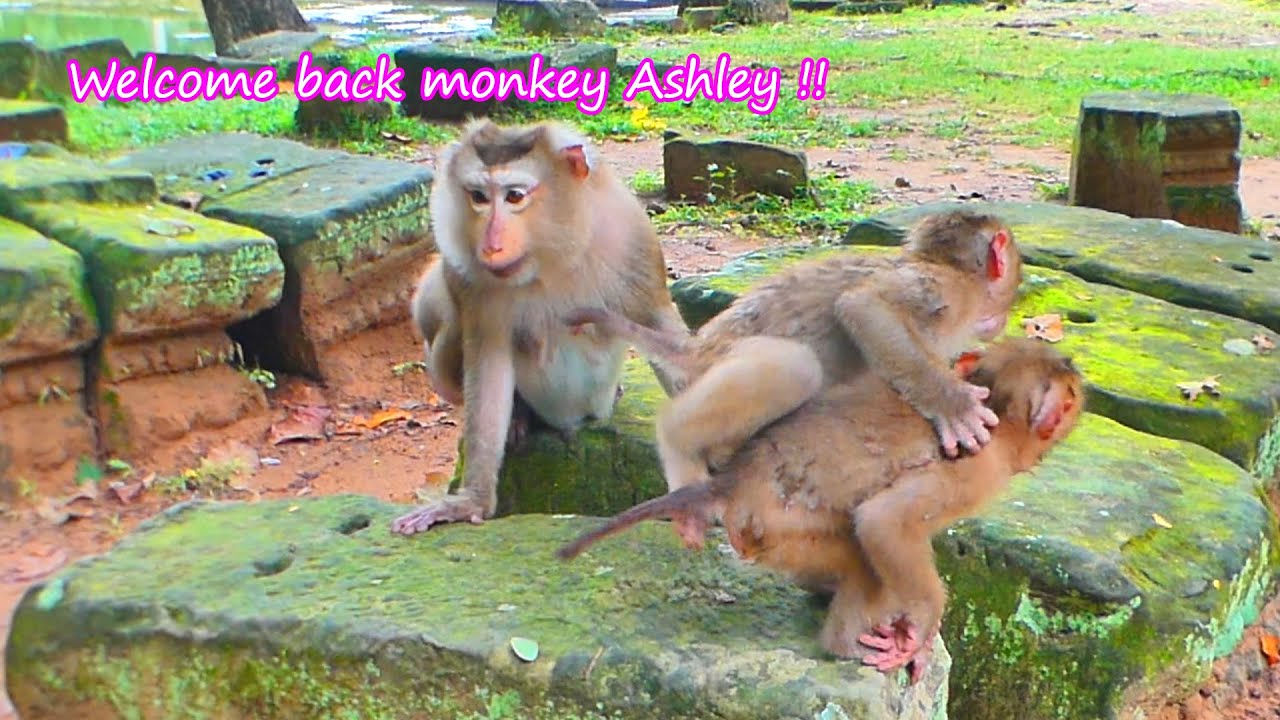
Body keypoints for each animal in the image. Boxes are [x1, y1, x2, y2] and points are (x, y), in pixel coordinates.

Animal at [391, 119, 690, 536]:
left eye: (515, 196)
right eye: (479, 197)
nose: (491, 246)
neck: (550, 259)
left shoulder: (633, 241)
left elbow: (662, 332)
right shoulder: (466, 272)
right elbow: (488, 358)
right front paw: (470, 501)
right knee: (443, 312)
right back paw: (519, 415)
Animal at [556, 337, 1084, 683]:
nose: (1075, 369)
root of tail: (733, 480)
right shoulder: (977, 469)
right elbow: (885, 521)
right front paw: (922, 626)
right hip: (775, 528)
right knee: (860, 558)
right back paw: (845, 642)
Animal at [564, 209, 1024, 548]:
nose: (1004, 314)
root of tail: (696, 347)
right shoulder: (950, 291)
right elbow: (864, 306)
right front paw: (953, 405)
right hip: (721, 366)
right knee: (796, 366)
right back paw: (680, 441)